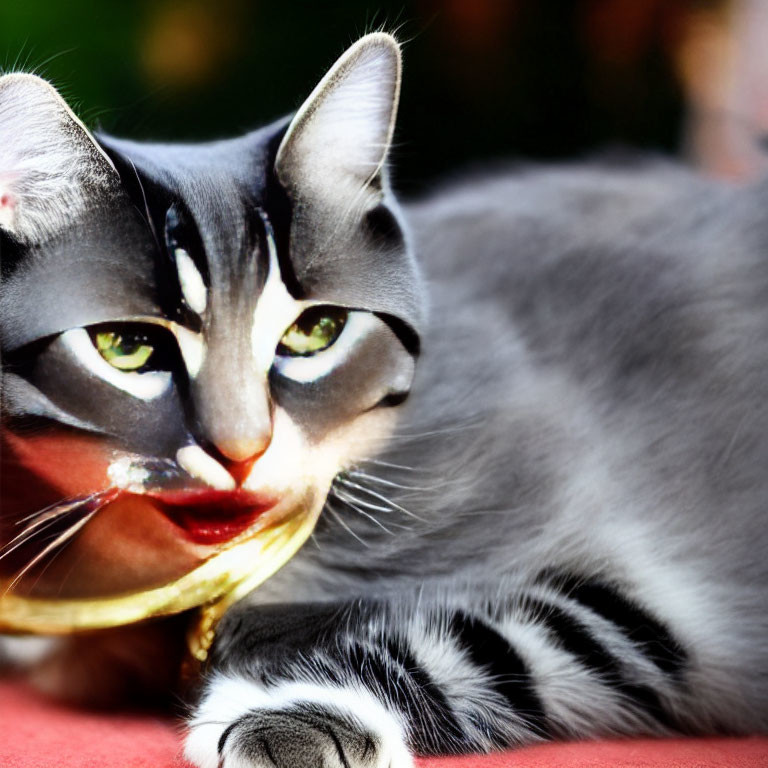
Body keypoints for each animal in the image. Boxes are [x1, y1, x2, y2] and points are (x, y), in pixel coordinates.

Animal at [1, 31, 768, 768]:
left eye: (316, 331)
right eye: (127, 346)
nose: (243, 450)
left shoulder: (667, 591)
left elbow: (485, 642)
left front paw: (297, 722)